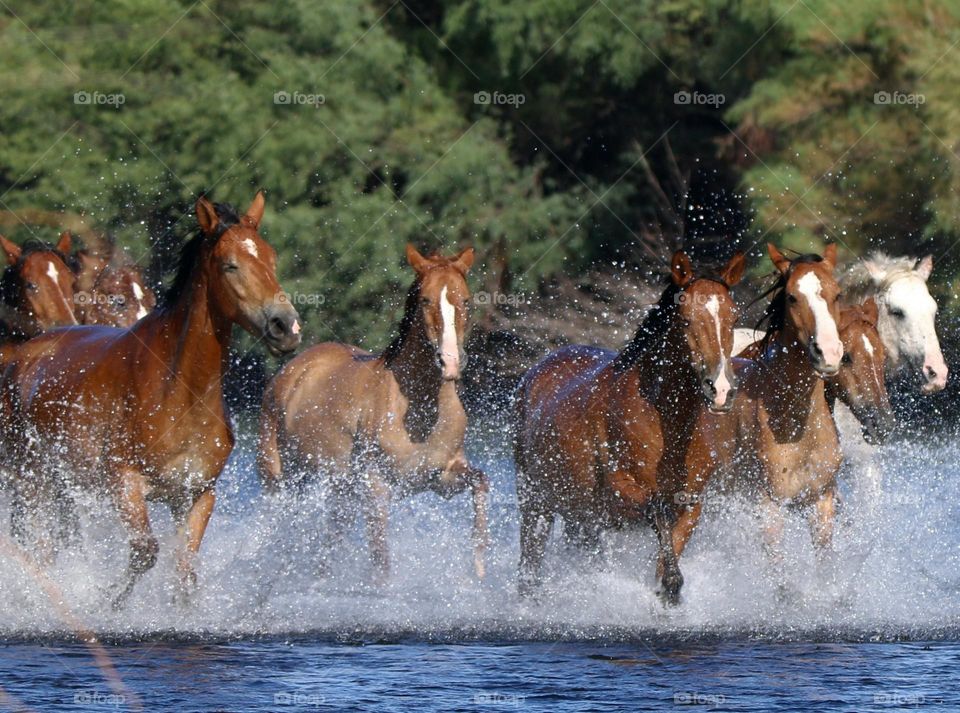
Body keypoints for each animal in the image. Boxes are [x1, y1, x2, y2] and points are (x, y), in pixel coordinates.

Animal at [0, 192, 301, 606]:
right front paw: (106, 601)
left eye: (271, 259)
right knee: (41, 550)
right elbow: (145, 553)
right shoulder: (125, 484)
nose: (286, 326)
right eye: (231, 265)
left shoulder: (195, 495)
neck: (180, 393)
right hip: (31, 483)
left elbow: (185, 571)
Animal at [258, 244, 490, 581]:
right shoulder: (376, 487)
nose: (450, 361)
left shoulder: (440, 477)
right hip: (280, 483)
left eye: (467, 300)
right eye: (425, 300)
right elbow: (381, 563)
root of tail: (290, 371)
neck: (419, 411)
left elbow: (481, 482)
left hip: (339, 493)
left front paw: (480, 565)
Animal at [513, 250, 745, 604]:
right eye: (686, 319)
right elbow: (657, 512)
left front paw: (667, 590)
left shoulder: (691, 502)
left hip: (581, 518)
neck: (667, 427)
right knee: (529, 566)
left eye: (733, 318)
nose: (720, 389)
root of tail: (536, 371)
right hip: (535, 503)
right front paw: (671, 584)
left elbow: (670, 549)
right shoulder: (622, 490)